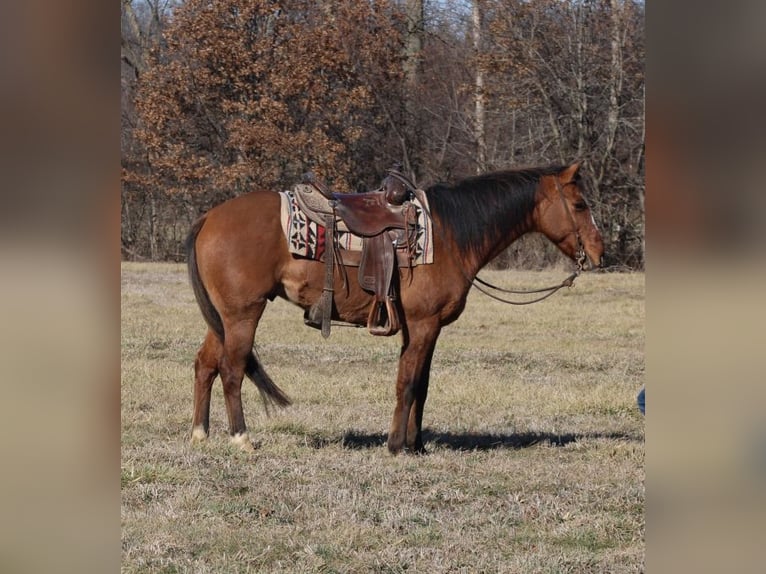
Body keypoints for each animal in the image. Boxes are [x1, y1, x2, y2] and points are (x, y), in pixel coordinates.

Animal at [185, 163, 604, 454]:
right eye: (580, 204)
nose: (600, 253)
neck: (450, 235)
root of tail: (209, 216)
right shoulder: (423, 324)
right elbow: (409, 382)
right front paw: (397, 445)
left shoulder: (425, 329)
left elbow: (423, 384)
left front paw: (417, 445)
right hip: (243, 314)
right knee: (231, 370)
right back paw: (241, 438)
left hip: (222, 317)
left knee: (205, 364)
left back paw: (200, 433)